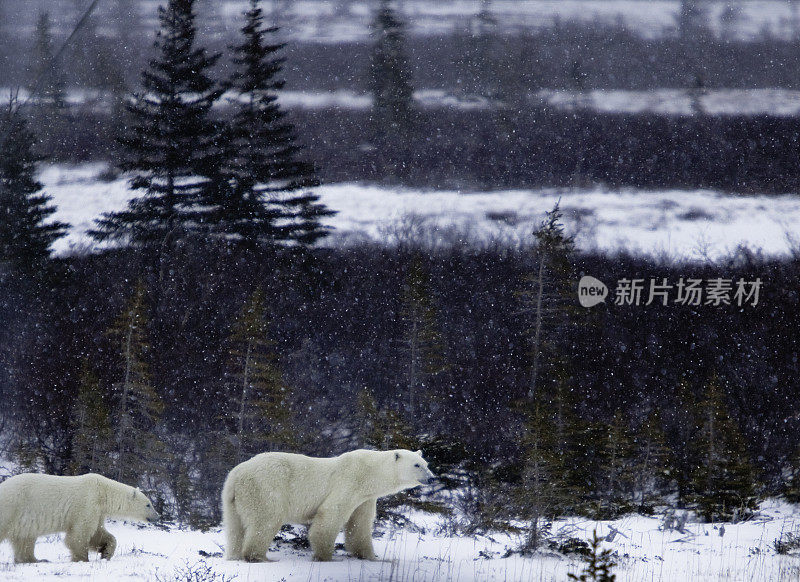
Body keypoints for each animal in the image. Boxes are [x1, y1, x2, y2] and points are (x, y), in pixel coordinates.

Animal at [0, 474, 159, 564]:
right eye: (148, 504)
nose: (157, 516)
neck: (103, 491)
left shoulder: (98, 511)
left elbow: (98, 533)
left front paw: (106, 552)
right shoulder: (87, 504)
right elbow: (79, 535)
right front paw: (83, 559)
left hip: (23, 520)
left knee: (25, 539)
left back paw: (35, 559)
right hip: (12, 507)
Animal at [222, 450, 434, 564]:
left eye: (426, 463)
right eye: (416, 465)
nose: (431, 477)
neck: (370, 472)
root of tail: (236, 474)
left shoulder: (365, 498)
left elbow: (360, 525)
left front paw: (373, 557)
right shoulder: (350, 481)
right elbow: (331, 513)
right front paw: (327, 557)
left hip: (233, 499)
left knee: (234, 527)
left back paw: (234, 555)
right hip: (265, 487)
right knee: (266, 520)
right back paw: (261, 557)